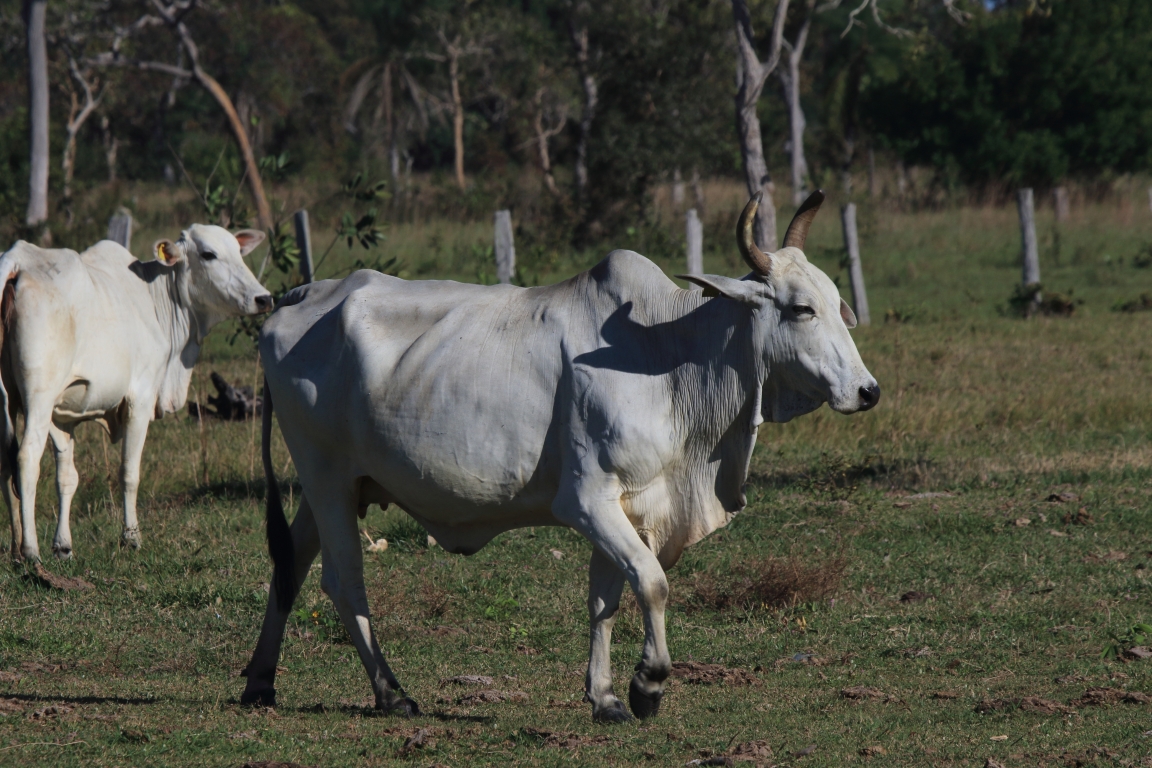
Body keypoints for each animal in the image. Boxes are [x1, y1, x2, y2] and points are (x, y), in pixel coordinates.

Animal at [0, 226, 272, 563]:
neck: (155, 297)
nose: (264, 298)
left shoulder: (62, 415)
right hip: (37, 397)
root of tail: (16, 262)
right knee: (26, 459)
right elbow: (129, 472)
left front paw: (63, 545)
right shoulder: (139, 399)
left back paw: (15, 550)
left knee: (6, 463)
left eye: (238, 251)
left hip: (10, 400)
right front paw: (131, 537)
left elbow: (67, 477)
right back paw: (30, 550)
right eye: (208, 254)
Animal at [241, 191, 878, 722]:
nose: (867, 391)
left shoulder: (628, 504)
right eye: (800, 309)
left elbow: (607, 598)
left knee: (291, 562)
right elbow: (651, 583)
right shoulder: (586, 500)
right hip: (325, 478)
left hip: (336, 485)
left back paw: (260, 681)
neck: (667, 356)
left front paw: (605, 697)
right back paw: (391, 693)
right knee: (343, 580)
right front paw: (648, 685)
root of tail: (301, 295)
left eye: (836, 303)